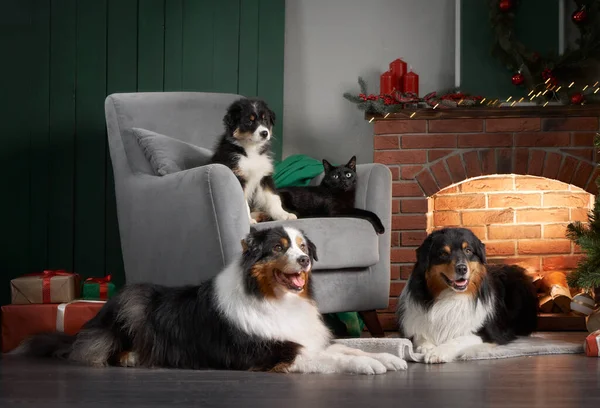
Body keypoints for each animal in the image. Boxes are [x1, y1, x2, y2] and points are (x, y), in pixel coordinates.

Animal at [15, 226, 408, 376]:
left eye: (302, 246)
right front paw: (368, 366)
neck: (275, 299)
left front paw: (387, 356)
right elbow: (330, 360)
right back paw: (130, 357)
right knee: (103, 350)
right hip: (133, 298)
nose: (305, 260)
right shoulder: (271, 353)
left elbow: (347, 347)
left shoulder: (305, 338)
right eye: (278, 248)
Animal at [396, 226, 536, 364]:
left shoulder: (486, 333)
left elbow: (459, 339)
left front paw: (437, 352)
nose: (462, 268)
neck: (452, 296)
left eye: (468, 250)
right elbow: (419, 336)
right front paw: (426, 347)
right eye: (443, 253)